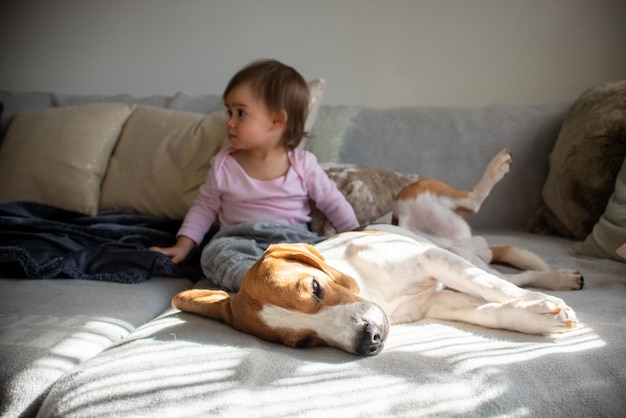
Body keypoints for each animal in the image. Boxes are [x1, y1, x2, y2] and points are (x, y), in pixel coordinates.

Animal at [172, 225, 576, 356]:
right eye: (304, 343)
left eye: (316, 289)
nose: (369, 341)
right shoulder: (436, 301)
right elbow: (490, 311)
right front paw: (537, 318)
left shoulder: (434, 260)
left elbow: (493, 287)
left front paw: (544, 306)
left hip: (458, 255)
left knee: (507, 274)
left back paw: (557, 280)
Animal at [392, 149, 584, 290]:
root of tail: (464, 245)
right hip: (481, 273)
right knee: (523, 277)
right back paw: (561, 279)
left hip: (418, 197)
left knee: (472, 200)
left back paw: (498, 165)